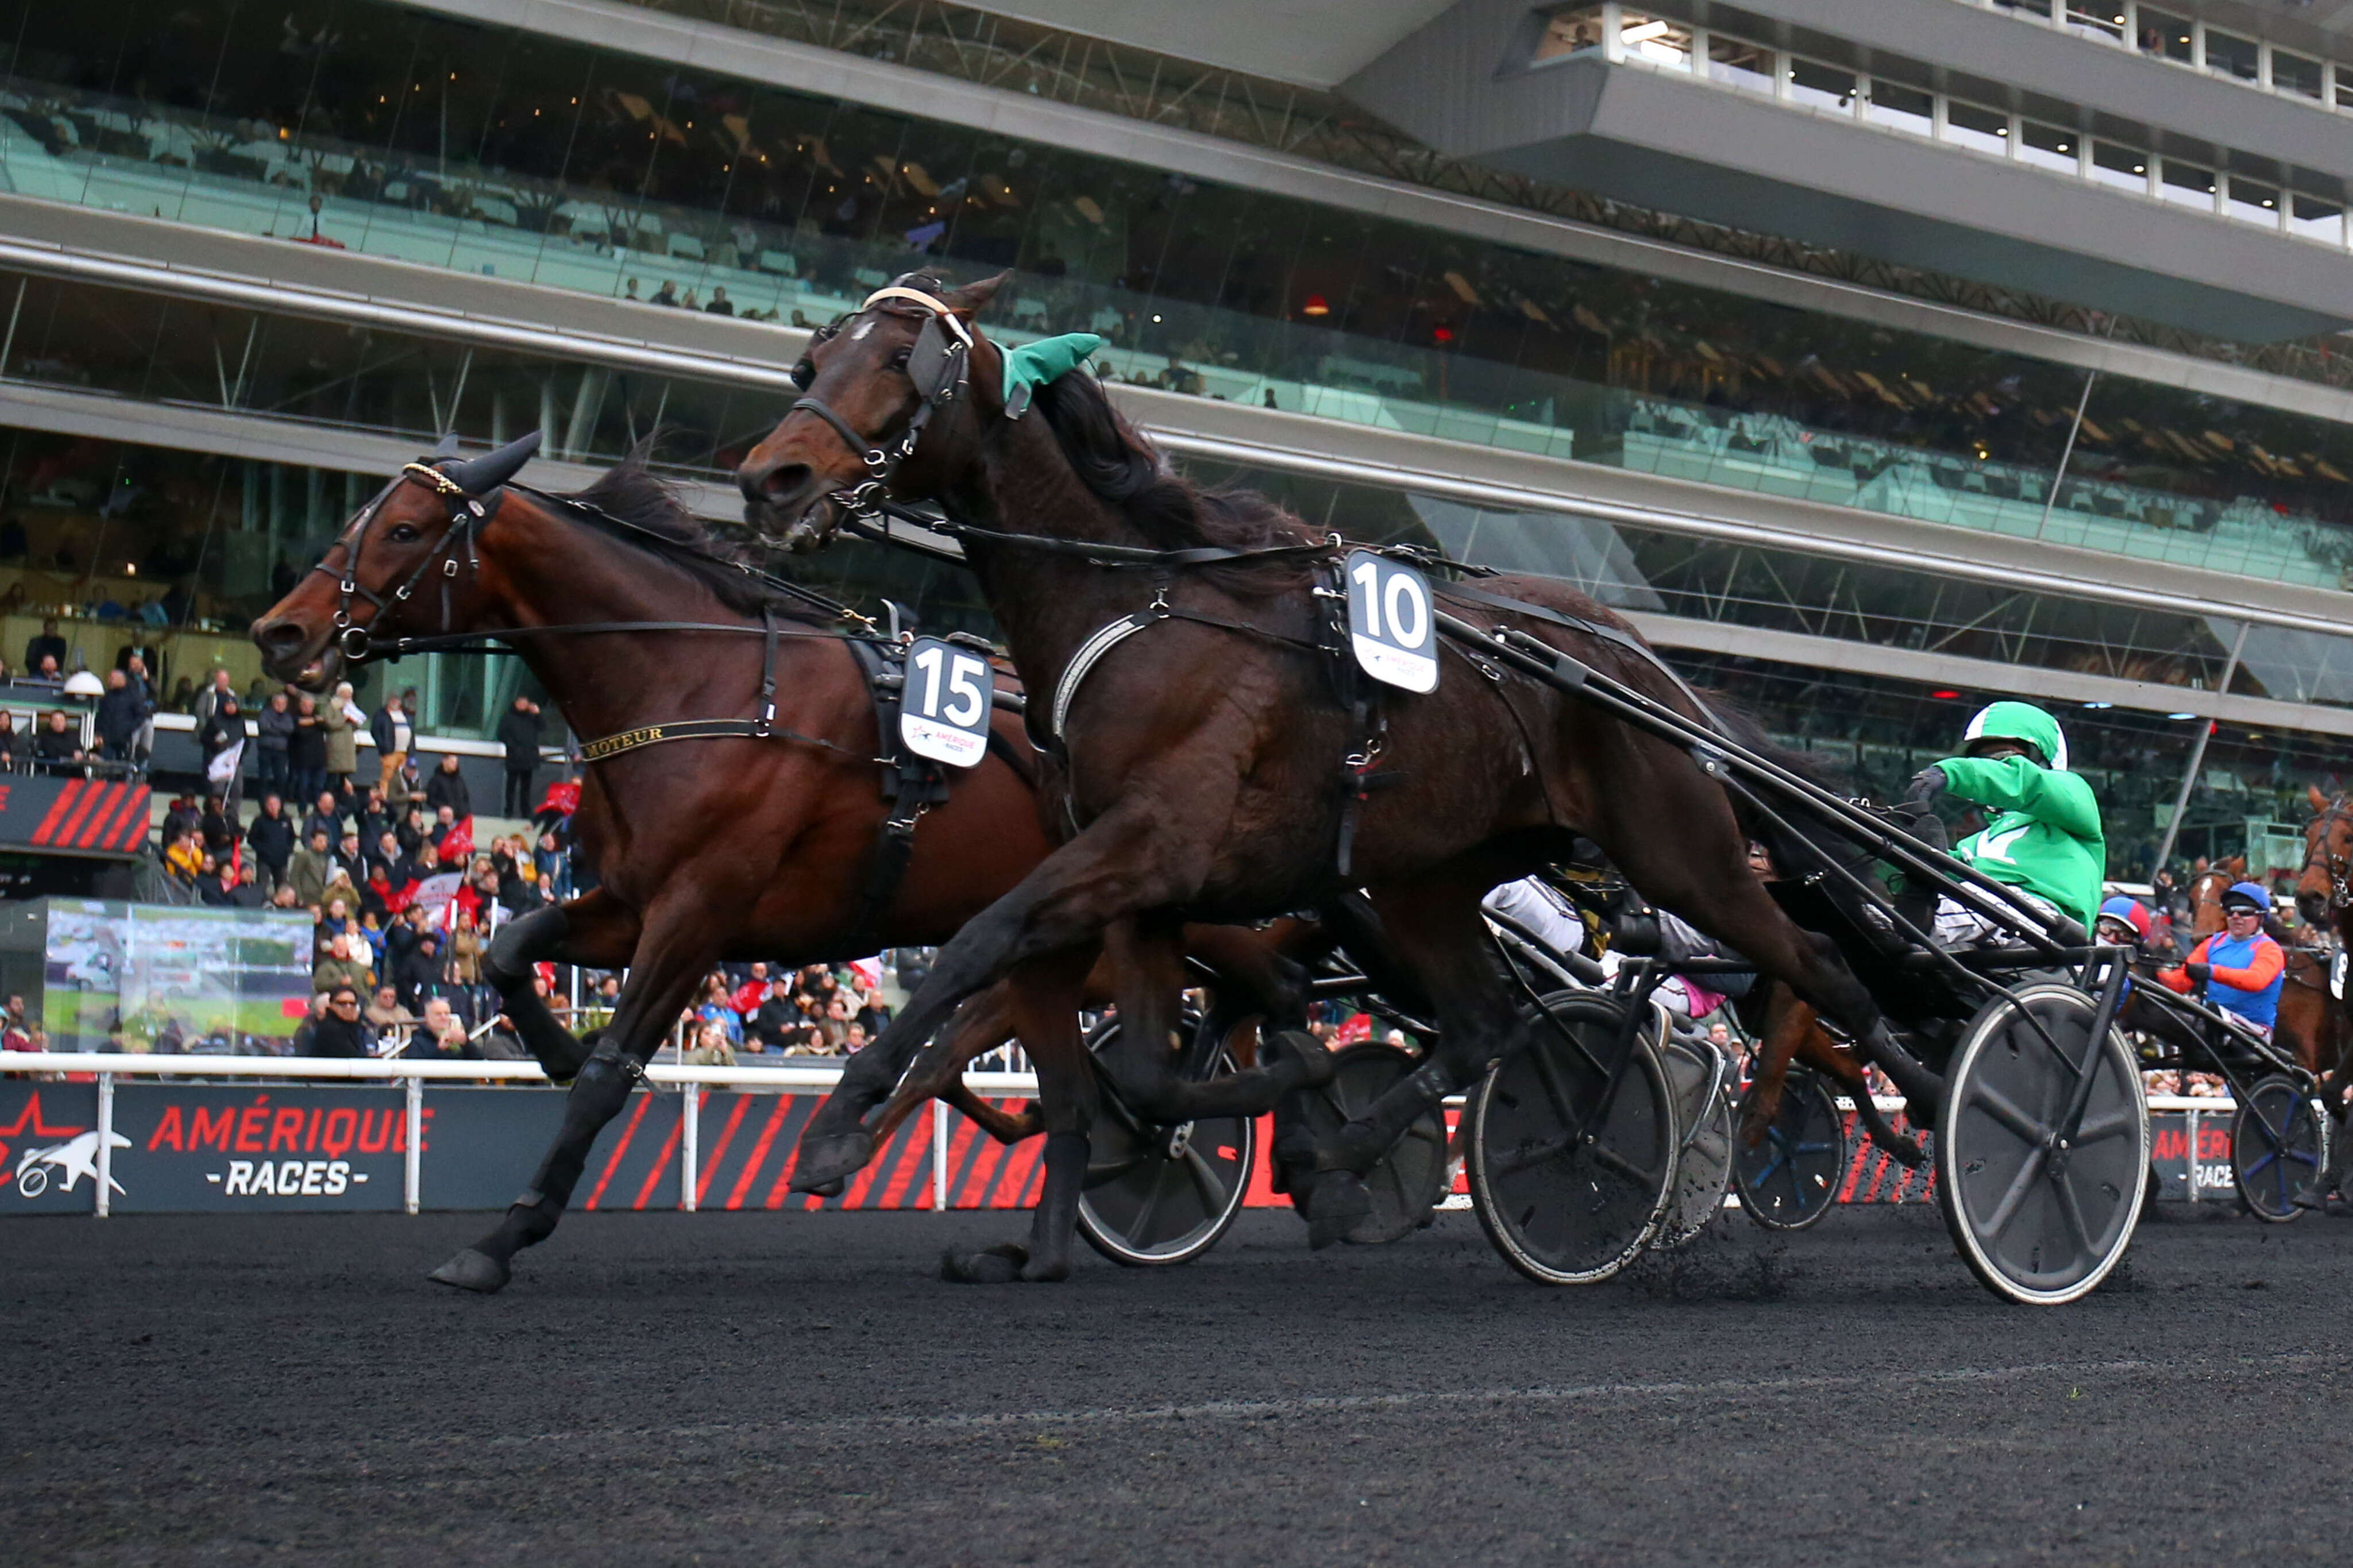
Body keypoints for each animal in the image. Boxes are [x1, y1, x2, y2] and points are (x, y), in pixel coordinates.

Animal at [260, 430, 1336, 1288]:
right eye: (358, 516)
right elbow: (510, 946)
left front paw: (503, 1236)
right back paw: (1042, 1249)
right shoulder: (634, 897)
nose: (282, 630)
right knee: (1080, 1099)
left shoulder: (699, 909)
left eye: (405, 530)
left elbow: (611, 1074)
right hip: (1053, 944)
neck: (704, 684)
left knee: (1269, 992)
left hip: (1174, 901)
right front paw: (554, 1048)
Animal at [734, 272, 1948, 1279]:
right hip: (1431, 879)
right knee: (1482, 1025)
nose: (769, 478)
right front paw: (1288, 1112)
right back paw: (1350, 1158)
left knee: (1821, 972)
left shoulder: (1149, 843)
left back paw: (1935, 1109)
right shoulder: (1142, 880)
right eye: (811, 358)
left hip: (1680, 852)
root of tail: (1648, 666)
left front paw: (835, 1132)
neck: (1142, 609)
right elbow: (1155, 1067)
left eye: (903, 361)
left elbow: (982, 941)